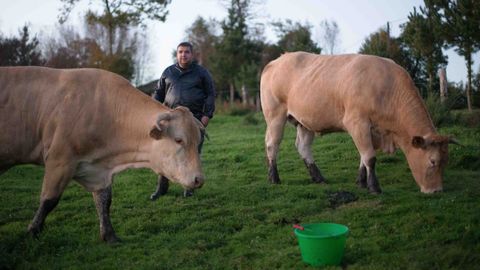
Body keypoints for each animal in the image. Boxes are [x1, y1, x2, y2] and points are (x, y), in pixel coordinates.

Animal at [0, 66, 204, 243]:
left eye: (197, 141)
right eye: (179, 140)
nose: (199, 179)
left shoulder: (98, 172)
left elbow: (104, 201)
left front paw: (109, 236)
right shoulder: (59, 161)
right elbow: (49, 200)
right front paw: (33, 231)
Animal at [260, 51, 456, 194]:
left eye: (447, 161)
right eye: (432, 161)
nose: (437, 190)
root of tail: (277, 60)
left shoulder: (370, 130)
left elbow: (364, 156)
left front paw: (361, 181)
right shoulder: (357, 123)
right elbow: (370, 157)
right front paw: (374, 187)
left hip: (305, 121)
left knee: (303, 146)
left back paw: (318, 177)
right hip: (275, 116)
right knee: (272, 144)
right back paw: (274, 177)